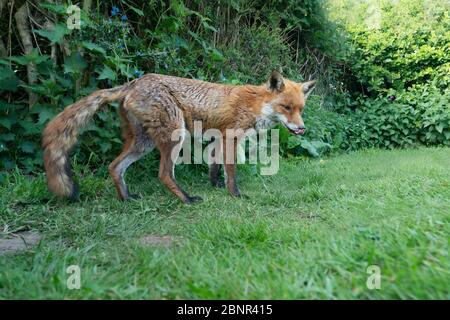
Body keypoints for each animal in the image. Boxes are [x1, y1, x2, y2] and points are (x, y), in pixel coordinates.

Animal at [43, 71, 316, 204]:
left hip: (143, 143)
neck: (256, 104)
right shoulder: (230, 137)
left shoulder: (217, 138)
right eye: (286, 108)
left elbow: (214, 166)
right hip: (175, 134)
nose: (301, 129)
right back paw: (186, 199)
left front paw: (215, 186)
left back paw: (127, 199)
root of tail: (134, 82)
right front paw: (234, 194)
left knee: (114, 166)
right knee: (164, 174)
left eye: (301, 109)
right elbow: (231, 172)